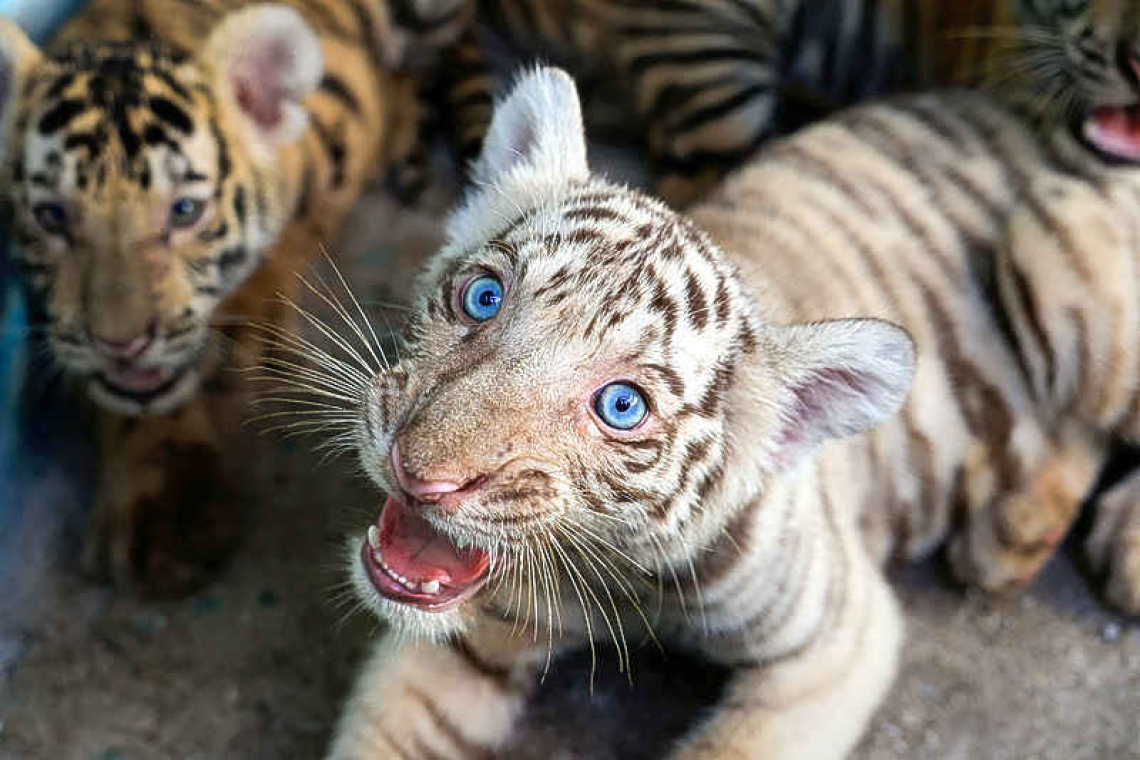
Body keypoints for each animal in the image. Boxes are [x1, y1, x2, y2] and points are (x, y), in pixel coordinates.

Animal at [296, 63, 1140, 759]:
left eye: (622, 406)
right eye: (483, 296)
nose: (418, 473)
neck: (613, 575)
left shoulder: (838, 644)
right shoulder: (464, 638)